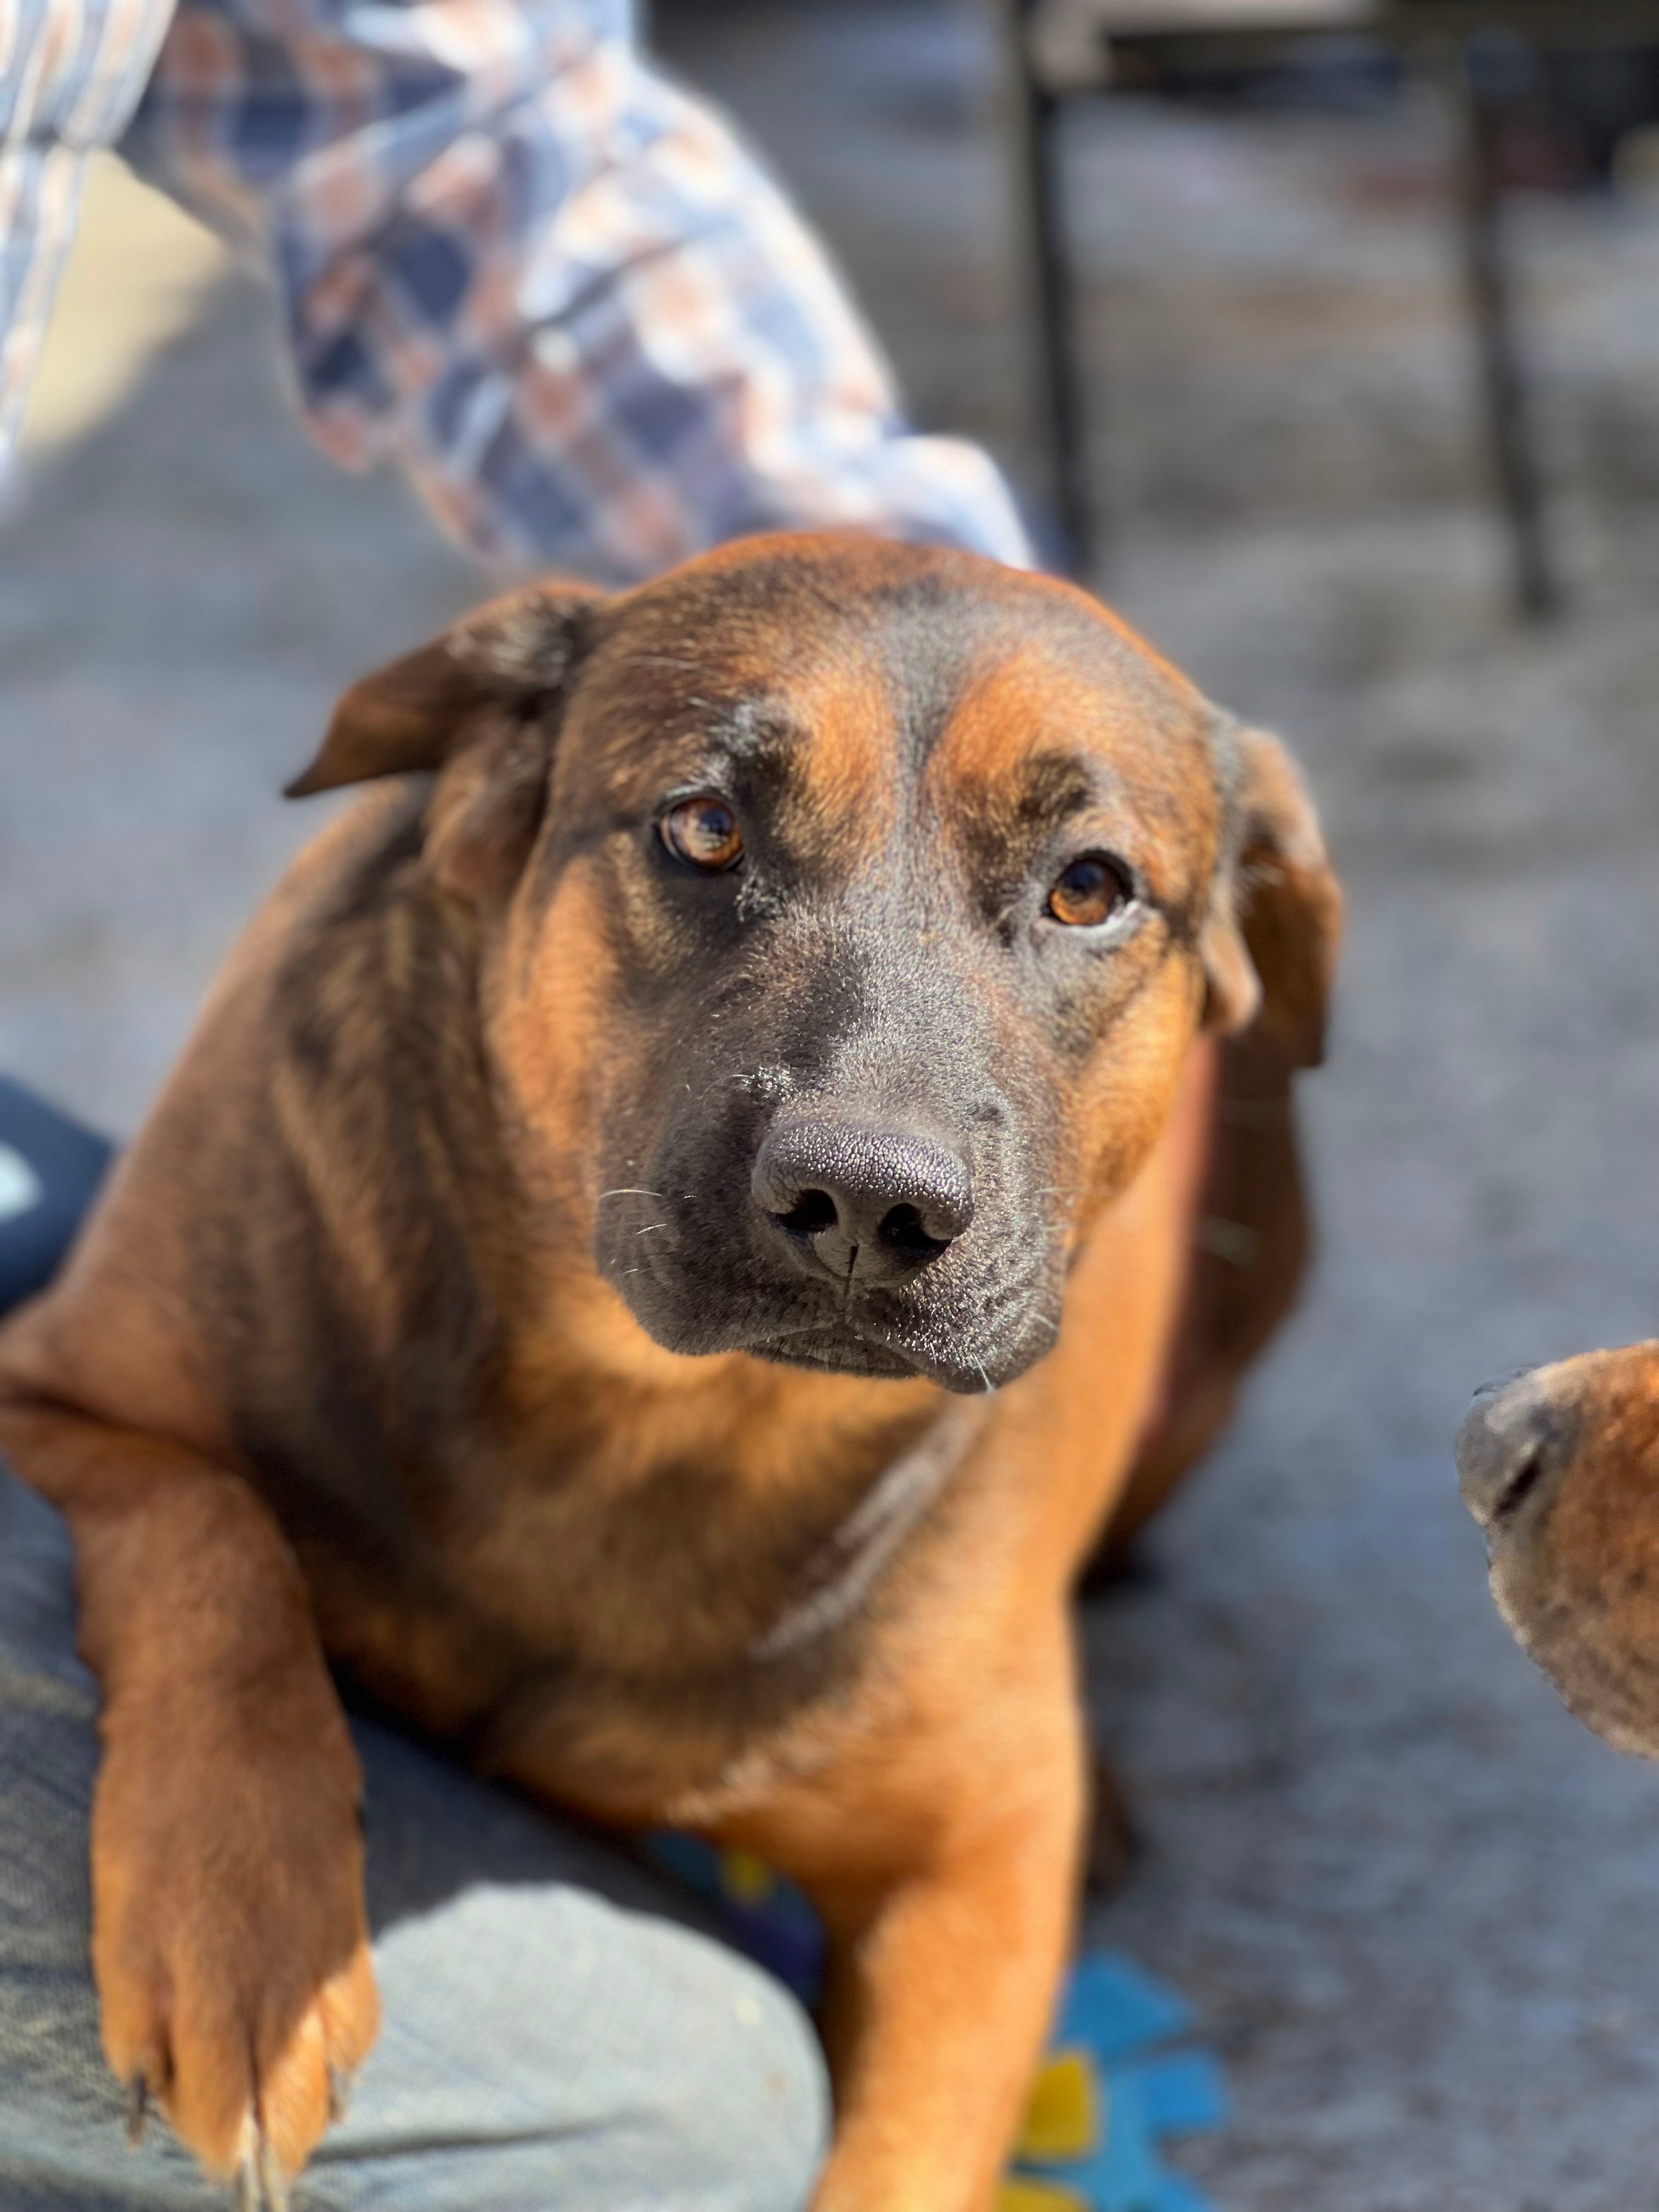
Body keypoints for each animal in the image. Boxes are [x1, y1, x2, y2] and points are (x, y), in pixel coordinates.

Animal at [0, 539, 1345, 2212]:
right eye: (705, 827)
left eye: (1089, 888)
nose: (865, 1202)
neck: (650, 1418)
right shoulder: (48, 1391)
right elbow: (207, 1532)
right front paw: (243, 1920)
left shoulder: (973, 1865)